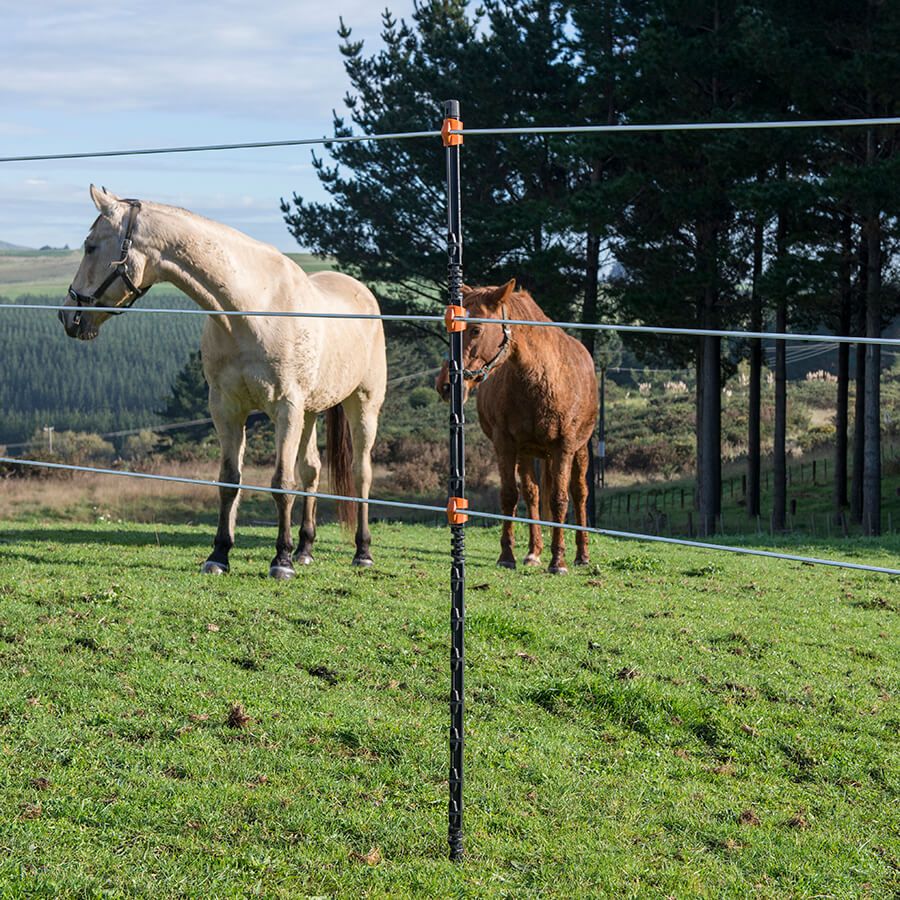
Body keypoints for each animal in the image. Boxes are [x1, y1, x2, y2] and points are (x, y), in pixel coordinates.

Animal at [59, 185, 386, 578]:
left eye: (91, 246)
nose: (68, 315)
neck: (252, 310)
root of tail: (363, 294)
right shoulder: (228, 408)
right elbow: (230, 480)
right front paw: (219, 554)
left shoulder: (286, 408)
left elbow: (281, 483)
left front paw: (281, 560)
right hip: (309, 413)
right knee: (311, 470)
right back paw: (306, 548)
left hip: (362, 405)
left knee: (361, 473)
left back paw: (362, 551)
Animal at [435, 279, 597, 574]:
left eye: (476, 329)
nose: (445, 385)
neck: (543, 377)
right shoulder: (507, 445)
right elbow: (510, 496)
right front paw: (507, 556)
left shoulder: (564, 448)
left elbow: (560, 499)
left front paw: (559, 561)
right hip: (527, 453)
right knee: (532, 494)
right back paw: (534, 552)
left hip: (579, 451)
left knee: (580, 493)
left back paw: (582, 555)